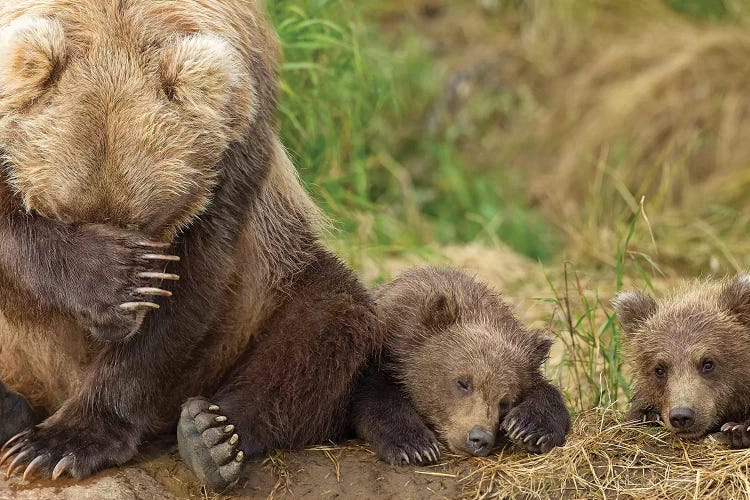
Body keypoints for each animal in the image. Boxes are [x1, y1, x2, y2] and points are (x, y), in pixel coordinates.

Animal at [0, 0, 382, 492]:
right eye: (64, 214)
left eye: (148, 221)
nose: (112, 329)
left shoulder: (235, 144)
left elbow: (193, 285)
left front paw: (60, 444)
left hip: (270, 287)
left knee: (326, 319)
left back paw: (210, 437)